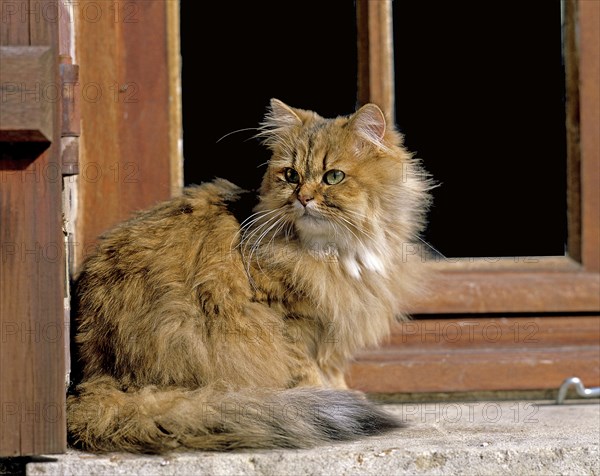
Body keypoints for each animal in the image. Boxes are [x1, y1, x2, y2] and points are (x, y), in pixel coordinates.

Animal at [67, 98, 432, 452]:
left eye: (333, 177)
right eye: (291, 175)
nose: (303, 198)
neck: (335, 251)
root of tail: (93, 381)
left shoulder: (335, 319)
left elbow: (332, 366)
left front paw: (343, 392)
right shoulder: (284, 318)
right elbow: (308, 368)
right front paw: (323, 394)